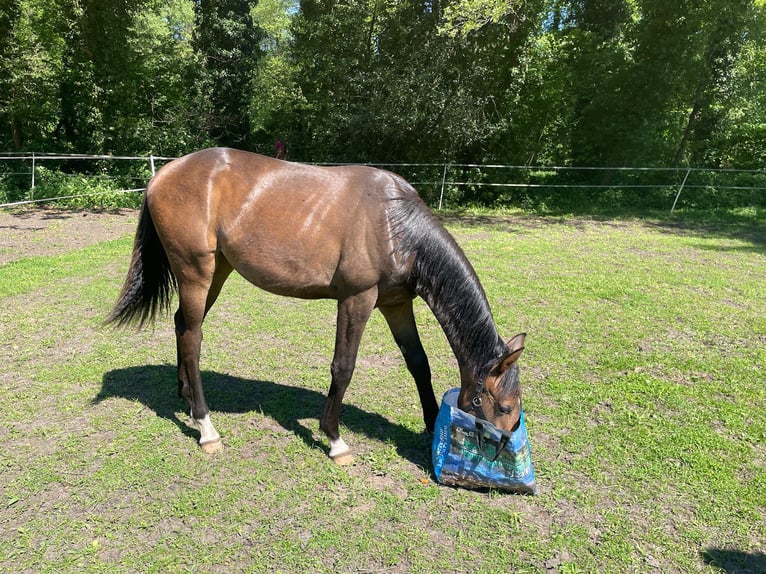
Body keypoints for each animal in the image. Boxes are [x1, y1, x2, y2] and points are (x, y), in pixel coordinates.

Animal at [108, 147, 528, 464]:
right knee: (194, 338)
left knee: (183, 326)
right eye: (504, 408)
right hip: (196, 272)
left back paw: (185, 396)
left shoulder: (396, 304)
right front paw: (335, 439)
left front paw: (429, 425)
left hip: (216, 271)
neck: (396, 223)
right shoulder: (357, 299)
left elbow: (418, 363)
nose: (503, 450)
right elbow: (343, 367)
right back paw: (206, 426)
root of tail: (162, 175)